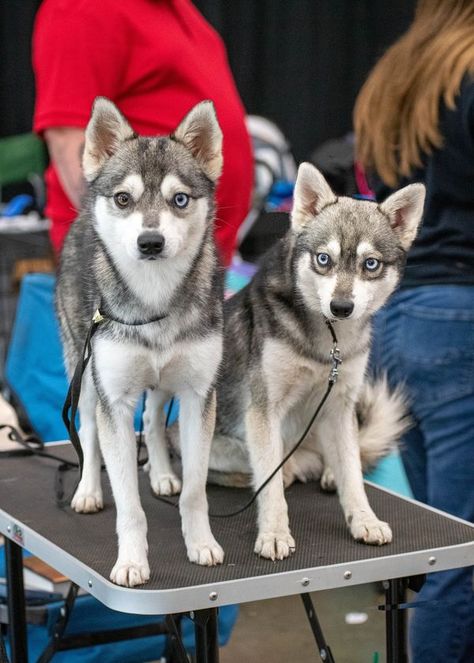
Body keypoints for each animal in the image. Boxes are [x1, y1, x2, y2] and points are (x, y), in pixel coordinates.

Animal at [55, 97, 226, 588]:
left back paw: (163, 473)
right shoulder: (113, 396)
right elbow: (129, 505)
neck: (154, 300)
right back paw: (88, 490)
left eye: (179, 199)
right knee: (87, 433)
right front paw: (131, 561)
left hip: (165, 383)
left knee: (151, 420)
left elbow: (195, 491)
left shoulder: (198, 395)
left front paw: (200, 542)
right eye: (124, 199)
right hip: (84, 373)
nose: (150, 242)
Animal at [202, 165, 424, 560]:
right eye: (324, 259)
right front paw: (274, 532)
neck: (328, 343)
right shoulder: (264, 410)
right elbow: (270, 484)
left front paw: (363, 519)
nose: (341, 307)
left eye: (370, 264)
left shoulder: (339, 405)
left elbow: (352, 475)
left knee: (345, 455)